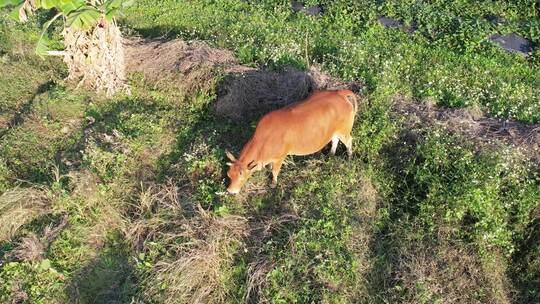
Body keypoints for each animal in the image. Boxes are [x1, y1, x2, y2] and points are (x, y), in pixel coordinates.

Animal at [225, 90, 358, 194]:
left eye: (242, 177)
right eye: (229, 175)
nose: (230, 191)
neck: (262, 141)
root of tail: (339, 93)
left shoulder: (280, 157)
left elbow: (275, 171)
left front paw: (273, 183)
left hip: (344, 131)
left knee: (349, 141)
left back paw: (350, 157)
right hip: (335, 132)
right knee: (335, 139)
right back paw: (331, 153)